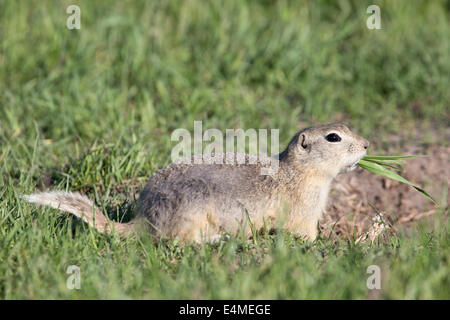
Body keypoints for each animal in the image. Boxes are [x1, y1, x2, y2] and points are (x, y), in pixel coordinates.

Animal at [22, 123, 370, 242]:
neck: (296, 172)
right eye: (334, 137)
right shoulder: (304, 209)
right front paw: (320, 242)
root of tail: (144, 218)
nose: (367, 144)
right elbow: (303, 231)